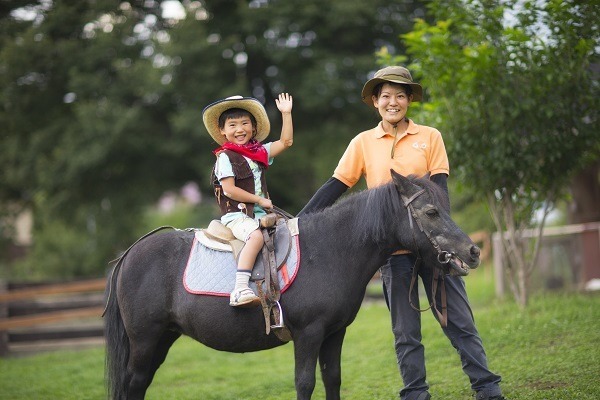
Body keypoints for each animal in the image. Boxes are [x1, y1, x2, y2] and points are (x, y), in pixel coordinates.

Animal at [103, 172, 478, 400]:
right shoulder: (308, 334)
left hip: (161, 339)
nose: (473, 251)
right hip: (145, 341)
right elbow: (305, 383)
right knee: (134, 384)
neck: (329, 249)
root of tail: (130, 253)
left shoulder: (334, 334)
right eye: (431, 212)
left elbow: (332, 378)